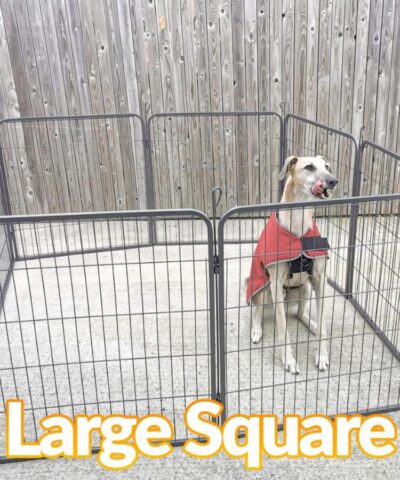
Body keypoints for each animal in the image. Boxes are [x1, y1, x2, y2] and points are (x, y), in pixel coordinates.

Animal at [245, 156, 336, 374]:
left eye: (327, 167)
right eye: (309, 167)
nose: (333, 181)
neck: (299, 222)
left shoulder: (319, 278)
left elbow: (323, 323)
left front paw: (322, 355)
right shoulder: (276, 283)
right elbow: (283, 327)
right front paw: (289, 359)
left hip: (307, 288)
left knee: (301, 313)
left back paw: (311, 324)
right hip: (263, 288)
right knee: (258, 311)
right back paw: (256, 330)